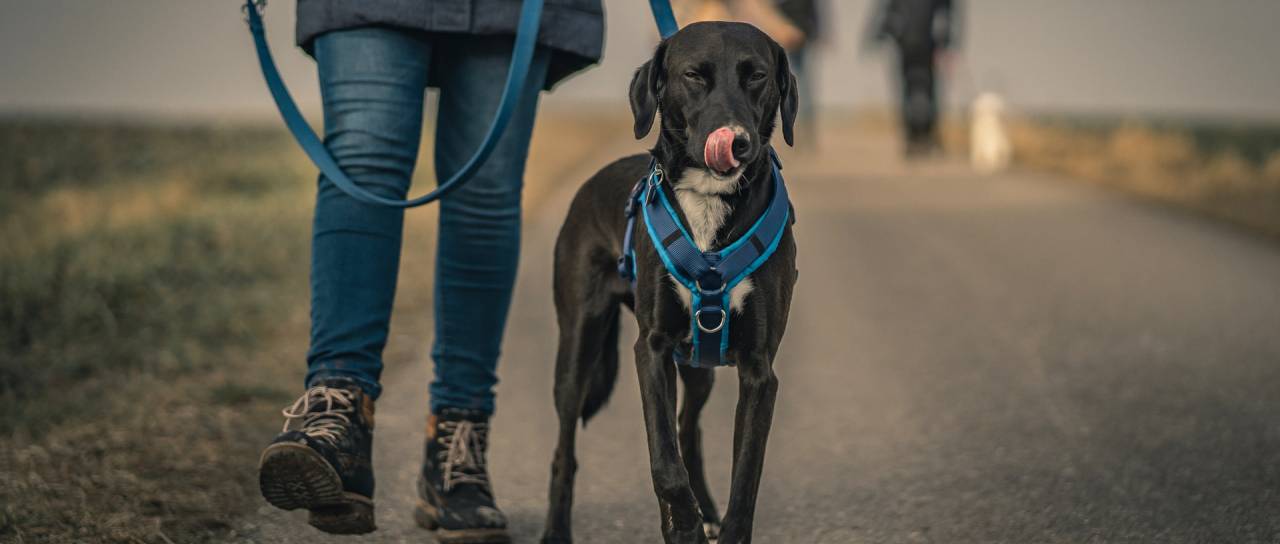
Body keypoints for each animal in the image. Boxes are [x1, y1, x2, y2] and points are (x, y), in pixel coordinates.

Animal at [541, 22, 799, 544]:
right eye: (694, 75)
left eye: (757, 76)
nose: (737, 142)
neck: (709, 198)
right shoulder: (652, 350)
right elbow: (664, 461)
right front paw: (682, 527)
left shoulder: (759, 370)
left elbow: (745, 476)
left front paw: (713, 522)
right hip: (578, 348)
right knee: (566, 449)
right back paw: (556, 530)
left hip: (699, 364)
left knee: (688, 429)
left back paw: (707, 508)